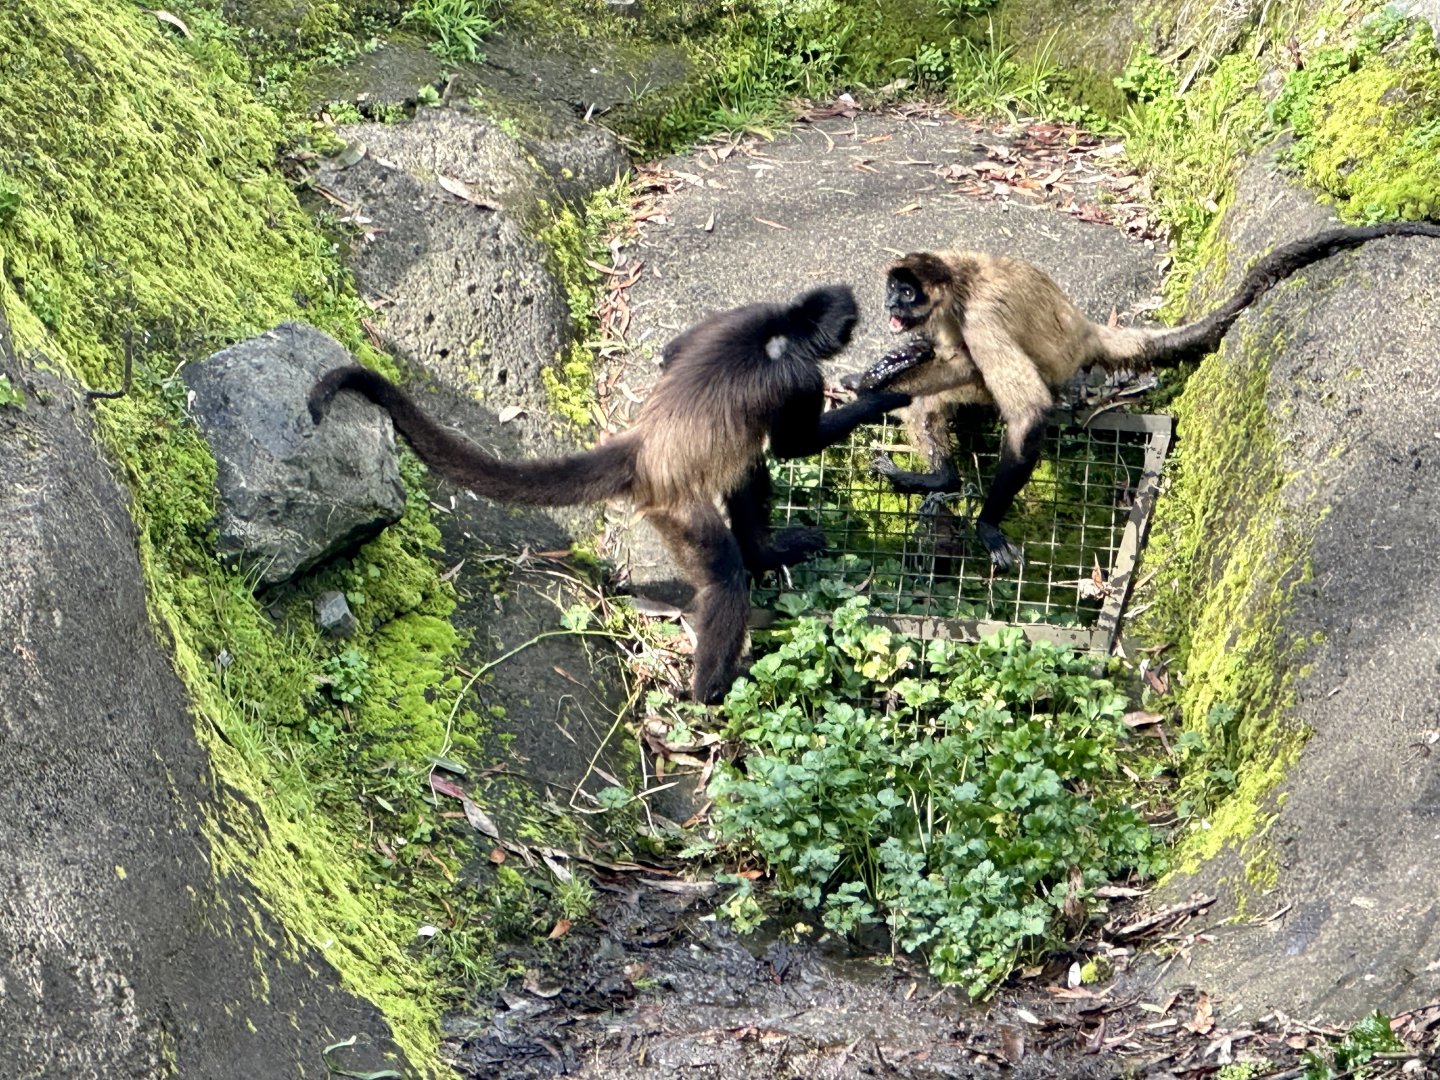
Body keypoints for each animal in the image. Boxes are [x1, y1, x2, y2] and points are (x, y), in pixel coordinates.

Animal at [308, 285, 911, 704]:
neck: (779, 328)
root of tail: (641, 451)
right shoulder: (798, 375)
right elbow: (794, 445)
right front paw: (879, 400)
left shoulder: (742, 312)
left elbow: (673, 352)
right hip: (675, 507)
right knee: (724, 572)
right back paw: (709, 693)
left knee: (746, 471)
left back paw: (765, 555)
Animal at [846, 222, 1440, 571]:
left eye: (906, 291)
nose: (890, 303)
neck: (960, 277)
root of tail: (1088, 331)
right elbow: (944, 356)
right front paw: (879, 370)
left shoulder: (980, 316)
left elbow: (1026, 406)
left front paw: (989, 526)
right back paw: (938, 470)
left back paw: (945, 477)